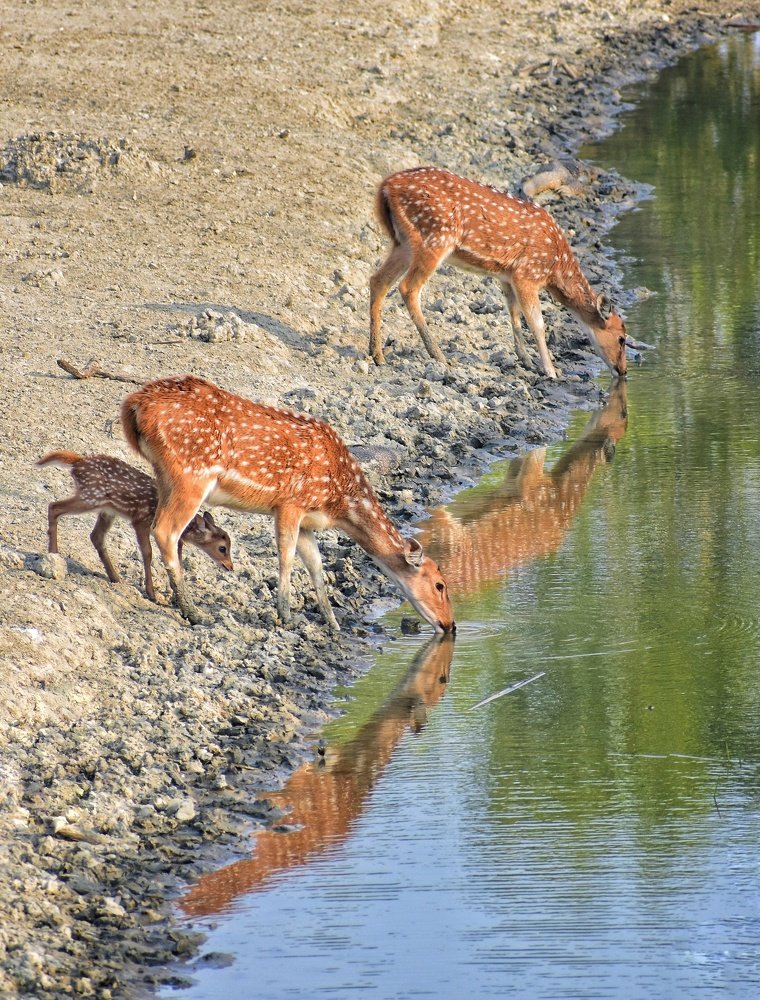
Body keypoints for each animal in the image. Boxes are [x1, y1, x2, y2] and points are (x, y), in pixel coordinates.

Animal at [37, 450, 233, 601]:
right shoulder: (141, 520)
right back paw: (53, 553)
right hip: (91, 496)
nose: (230, 567)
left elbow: (177, 562)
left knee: (96, 536)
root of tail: (78, 462)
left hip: (106, 509)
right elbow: (148, 553)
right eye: (222, 548)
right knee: (54, 507)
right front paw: (152, 593)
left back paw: (115, 577)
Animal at [120, 374, 455, 634]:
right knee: (165, 530)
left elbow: (316, 564)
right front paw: (286, 617)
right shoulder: (290, 503)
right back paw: (194, 612)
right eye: (440, 585)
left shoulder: (307, 520)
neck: (338, 500)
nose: (450, 625)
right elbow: (286, 556)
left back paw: (158, 595)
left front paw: (333, 624)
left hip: (165, 473)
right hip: (191, 474)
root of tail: (134, 405)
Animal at [369, 165, 630, 379]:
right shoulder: (527, 273)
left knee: (378, 280)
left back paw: (377, 354)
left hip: (403, 242)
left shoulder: (507, 275)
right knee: (408, 288)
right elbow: (537, 323)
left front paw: (526, 361)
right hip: (435, 236)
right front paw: (551, 370)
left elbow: (514, 315)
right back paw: (438, 354)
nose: (623, 370)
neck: (555, 267)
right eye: (622, 338)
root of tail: (385, 187)